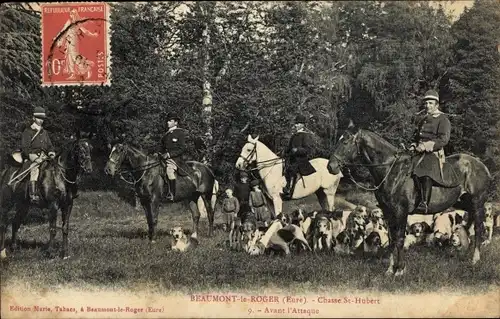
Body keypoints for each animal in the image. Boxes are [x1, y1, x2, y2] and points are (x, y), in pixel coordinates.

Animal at [326, 122, 490, 278]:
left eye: (345, 141)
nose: (330, 166)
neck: (391, 171)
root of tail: (482, 165)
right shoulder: (388, 212)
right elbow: (392, 240)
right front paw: (390, 269)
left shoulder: (401, 211)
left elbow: (399, 239)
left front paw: (400, 270)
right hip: (464, 203)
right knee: (469, 226)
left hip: (477, 203)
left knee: (478, 229)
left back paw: (475, 259)